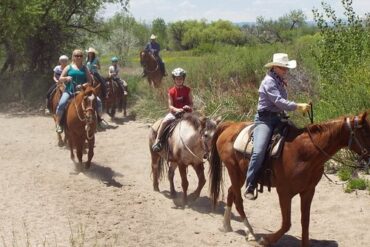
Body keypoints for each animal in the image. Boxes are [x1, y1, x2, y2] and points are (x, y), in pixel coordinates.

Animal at [210, 112, 368, 247]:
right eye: (366, 131)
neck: (305, 153)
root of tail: (230, 126)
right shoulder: (284, 193)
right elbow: (287, 224)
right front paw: (266, 240)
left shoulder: (308, 191)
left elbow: (305, 221)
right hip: (234, 171)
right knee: (238, 200)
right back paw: (250, 233)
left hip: (241, 175)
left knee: (231, 192)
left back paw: (226, 226)